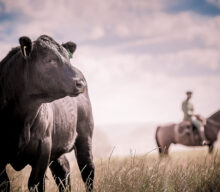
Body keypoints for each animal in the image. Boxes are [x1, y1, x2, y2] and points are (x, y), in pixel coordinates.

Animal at [0, 35, 94, 191]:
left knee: (88, 172)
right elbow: (4, 183)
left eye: (68, 59)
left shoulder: (43, 147)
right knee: (63, 170)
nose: (80, 83)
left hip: (85, 137)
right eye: (50, 60)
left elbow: (36, 182)